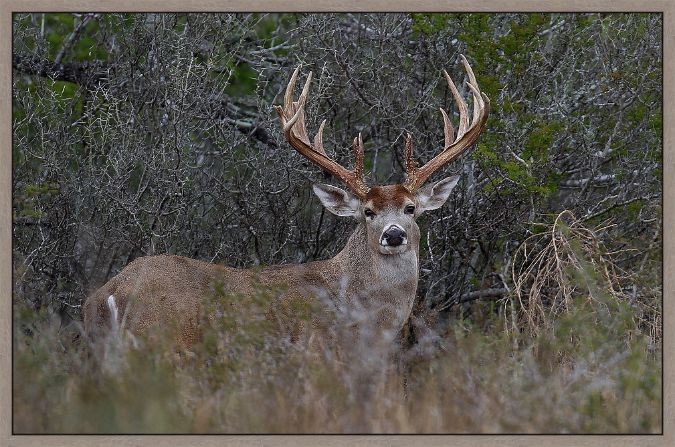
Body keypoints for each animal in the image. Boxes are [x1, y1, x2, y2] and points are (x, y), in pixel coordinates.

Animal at [83, 56, 492, 356]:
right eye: (368, 212)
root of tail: (110, 293)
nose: (393, 235)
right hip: (166, 343)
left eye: (410, 209)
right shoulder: (315, 353)